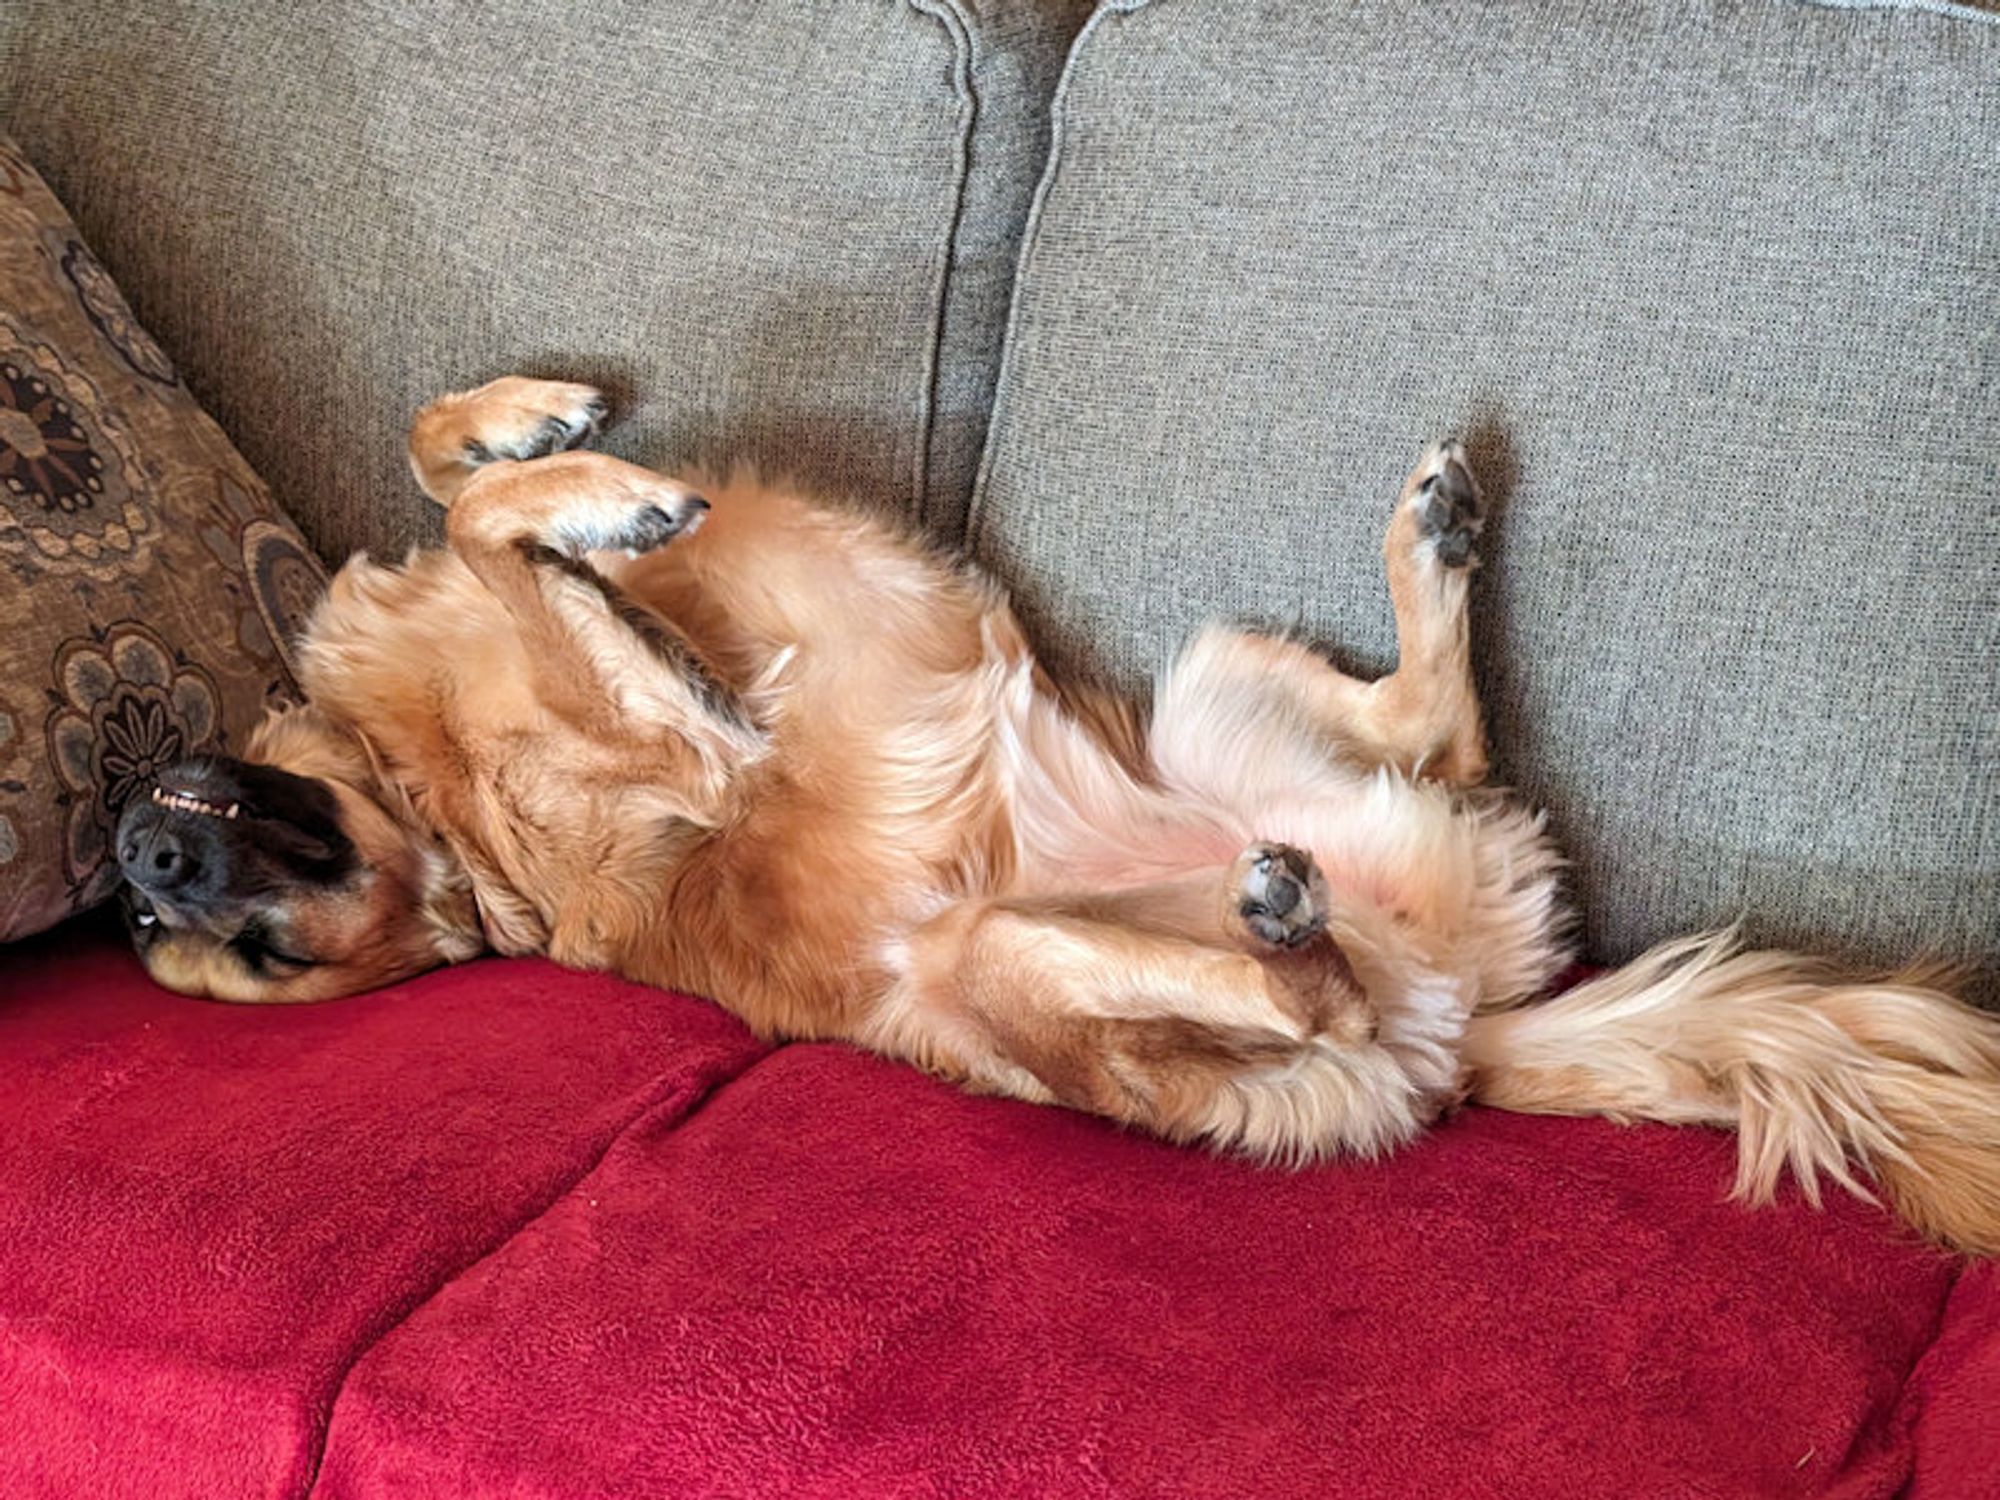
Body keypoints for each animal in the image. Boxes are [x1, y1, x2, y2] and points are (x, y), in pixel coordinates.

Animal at [113, 376, 2000, 1256]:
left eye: (179, 923)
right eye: (229, 952)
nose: (145, 856)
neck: (421, 789)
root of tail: (1474, 1033)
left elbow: (439, 462)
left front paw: (548, 431)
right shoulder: (701, 747)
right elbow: (489, 522)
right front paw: (597, 495)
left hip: (1211, 685)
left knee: (1434, 724)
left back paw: (1426, 558)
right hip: (1011, 958)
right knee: (1306, 973)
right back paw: (1280, 921)